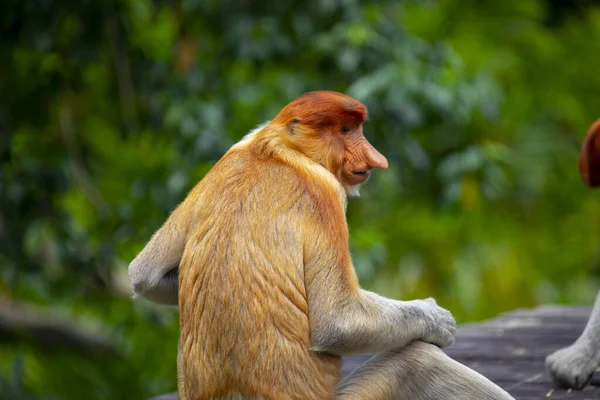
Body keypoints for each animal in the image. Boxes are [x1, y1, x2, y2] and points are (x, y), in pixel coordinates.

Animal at [129, 90, 512, 400]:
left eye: (357, 128)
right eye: (345, 131)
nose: (376, 158)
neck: (276, 150)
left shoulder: (234, 151)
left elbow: (144, 274)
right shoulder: (326, 194)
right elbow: (338, 321)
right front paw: (436, 319)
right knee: (419, 360)